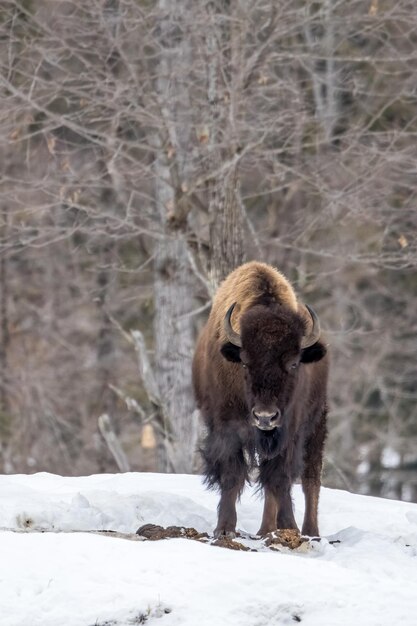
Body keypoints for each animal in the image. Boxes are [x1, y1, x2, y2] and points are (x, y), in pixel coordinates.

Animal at [192, 260, 328, 536]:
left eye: (294, 363)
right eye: (245, 362)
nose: (265, 416)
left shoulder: (288, 431)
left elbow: (280, 477)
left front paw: (289, 527)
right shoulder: (226, 427)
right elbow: (233, 474)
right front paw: (225, 528)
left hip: (317, 423)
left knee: (310, 478)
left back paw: (310, 531)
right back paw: (265, 530)